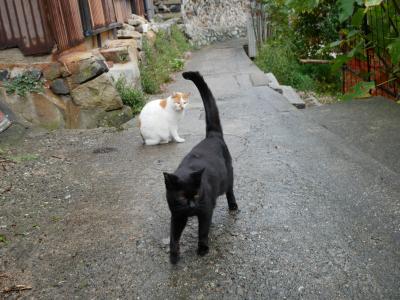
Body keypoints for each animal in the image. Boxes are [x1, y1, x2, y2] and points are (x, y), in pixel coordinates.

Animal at [162, 71, 238, 264]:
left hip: (228, 176)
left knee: (230, 190)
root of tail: (212, 135)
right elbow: (173, 236)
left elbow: (203, 231)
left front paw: (203, 249)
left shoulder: (204, 210)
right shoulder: (177, 214)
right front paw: (174, 256)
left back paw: (233, 206)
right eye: (182, 197)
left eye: (196, 194)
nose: (191, 205)